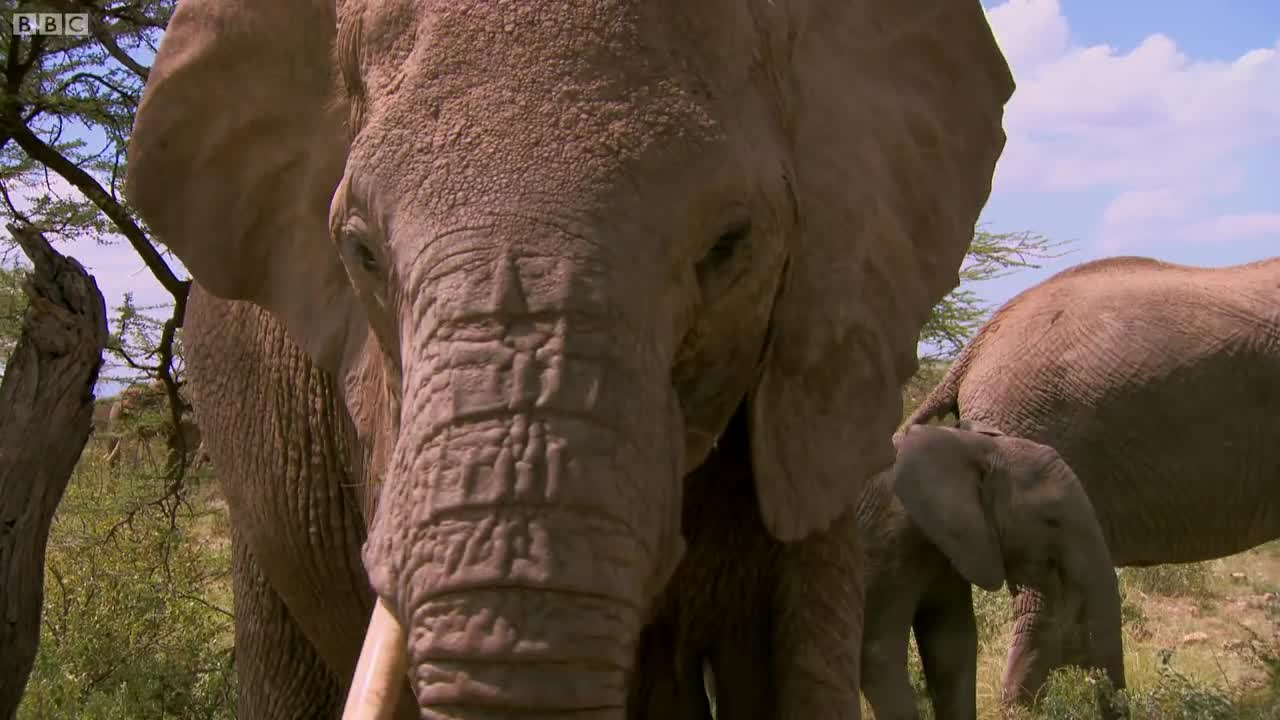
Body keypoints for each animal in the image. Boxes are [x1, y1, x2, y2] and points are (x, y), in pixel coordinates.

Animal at [860, 420, 1121, 717]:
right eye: (1051, 520)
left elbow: (953, 644)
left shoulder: (952, 546)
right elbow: (879, 656)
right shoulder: (887, 542)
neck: (974, 447)